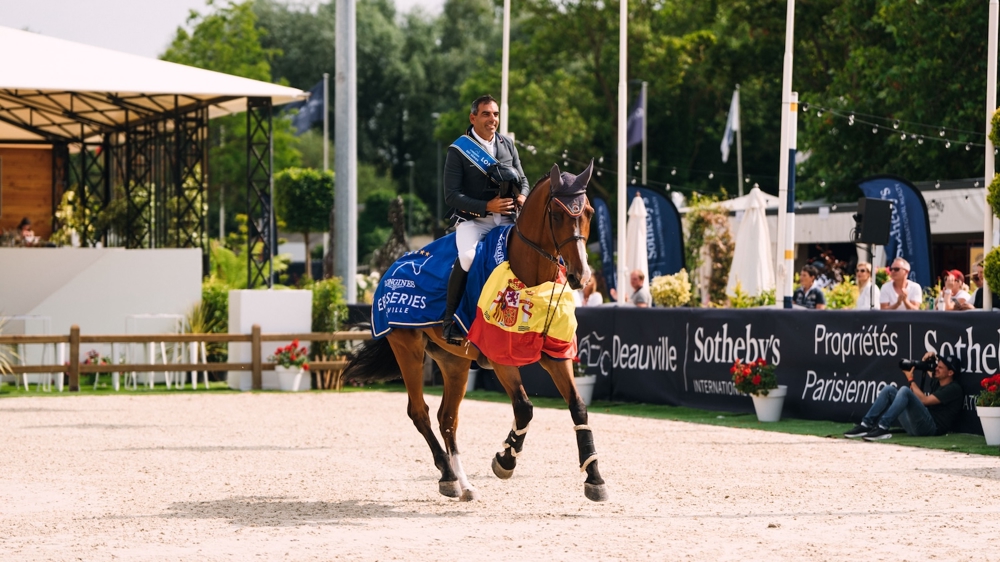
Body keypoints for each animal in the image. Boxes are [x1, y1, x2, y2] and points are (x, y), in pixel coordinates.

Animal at [344, 160, 608, 500]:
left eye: (588, 211)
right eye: (557, 214)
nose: (581, 276)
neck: (530, 278)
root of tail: (389, 271)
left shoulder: (555, 353)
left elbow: (578, 407)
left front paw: (594, 477)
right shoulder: (499, 357)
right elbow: (524, 407)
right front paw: (505, 460)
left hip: (453, 362)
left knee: (447, 418)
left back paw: (464, 483)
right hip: (408, 350)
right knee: (420, 412)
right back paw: (447, 475)